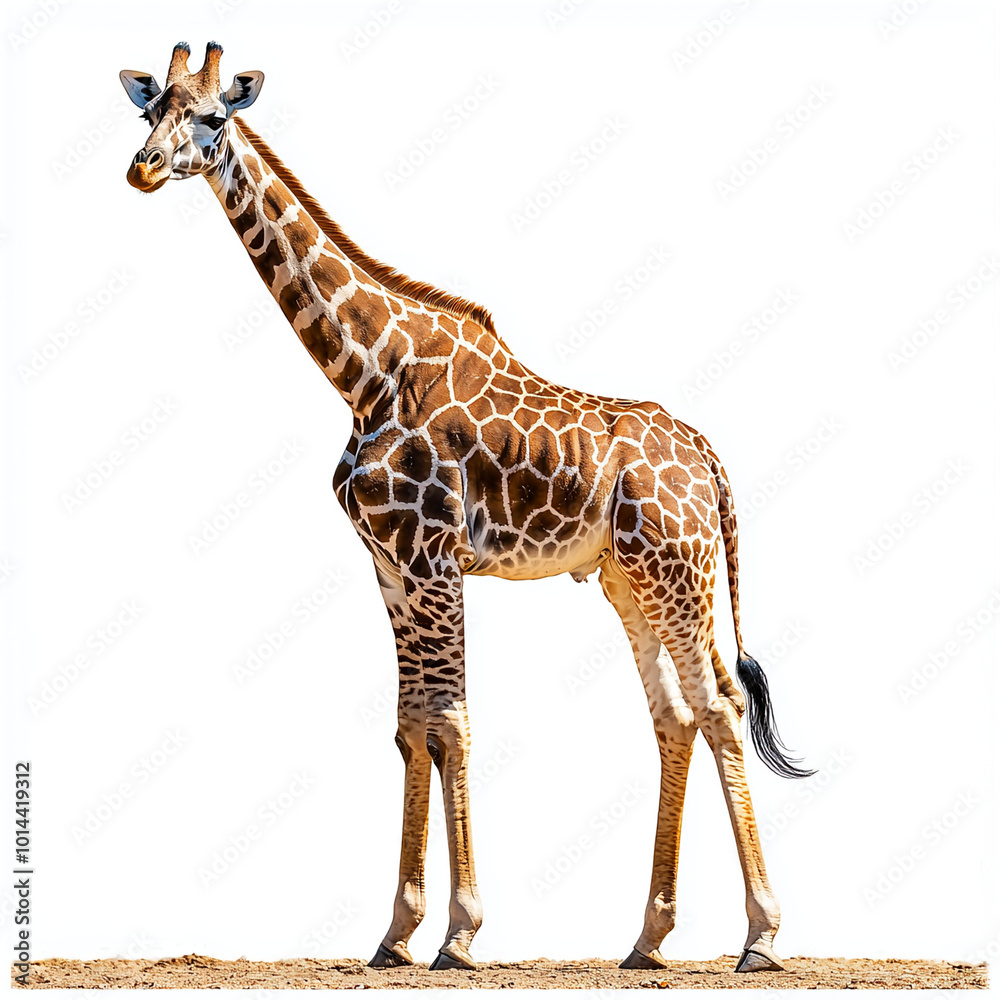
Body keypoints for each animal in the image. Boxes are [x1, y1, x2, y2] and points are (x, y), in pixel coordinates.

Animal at [121, 42, 813, 974]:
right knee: (673, 715)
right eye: (147, 109)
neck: (364, 373)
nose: (143, 168)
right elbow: (411, 726)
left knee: (722, 708)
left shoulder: (434, 558)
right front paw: (395, 934)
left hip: (682, 571)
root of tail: (710, 459)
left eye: (211, 116)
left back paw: (763, 937)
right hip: (629, 580)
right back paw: (647, 939)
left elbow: (451, 724)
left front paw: (458, 932)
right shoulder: (388, 564)